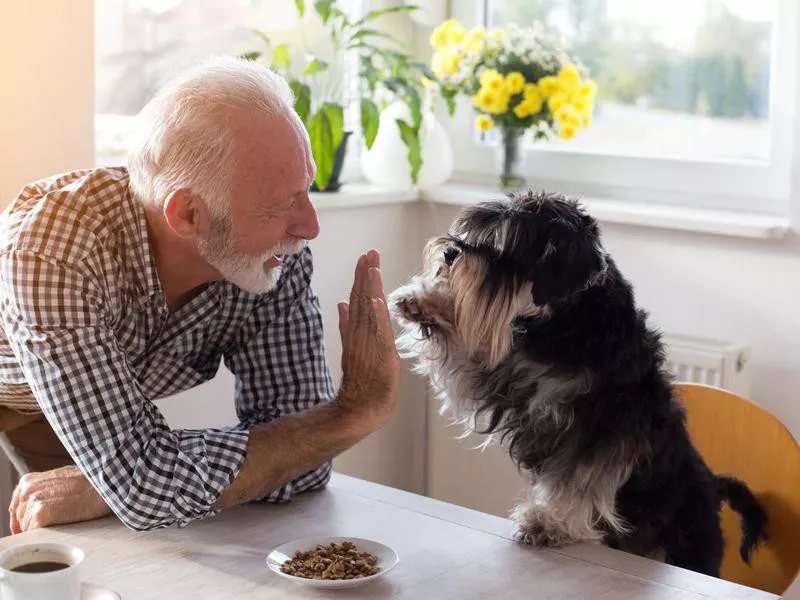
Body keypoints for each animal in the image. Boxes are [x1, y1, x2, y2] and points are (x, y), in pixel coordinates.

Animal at [390, 192, 768, 576]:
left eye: (508, 246)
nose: (450, 252)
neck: (567, 322)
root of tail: (714, 486)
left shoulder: (601, 429)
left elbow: (579, 480)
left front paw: (548, 524)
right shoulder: (507, 377)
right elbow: (467, 350)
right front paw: (423, 302)